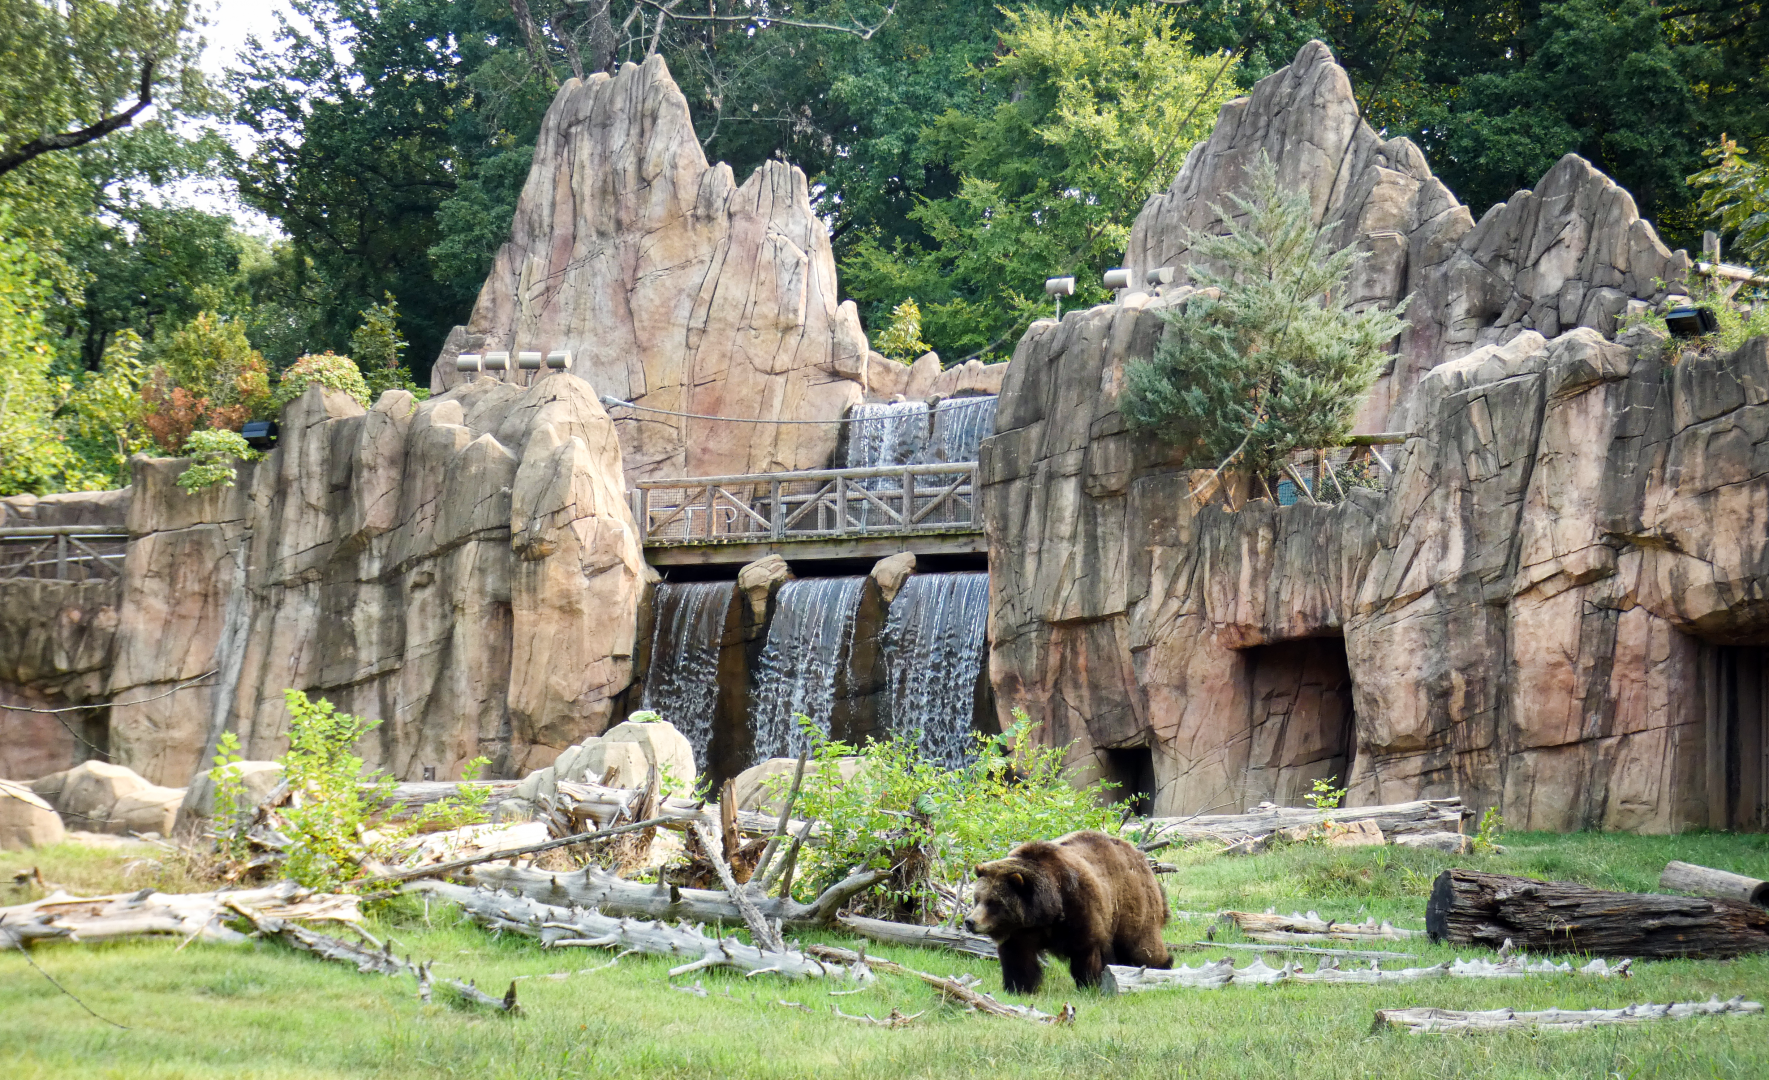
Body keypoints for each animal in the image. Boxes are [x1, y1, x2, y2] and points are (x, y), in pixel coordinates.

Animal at [963, 829, 1170, 993]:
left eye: (994, 902)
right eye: (977, 899)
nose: (970, 921)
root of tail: (1139, 856)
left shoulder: (1080, 908)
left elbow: (1086, 951)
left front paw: (1089, 984)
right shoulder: (1020, 932)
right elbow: (1018, 958)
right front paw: (1019, 987)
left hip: (1131, 903)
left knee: (1141, 945)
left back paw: (1161, 966)